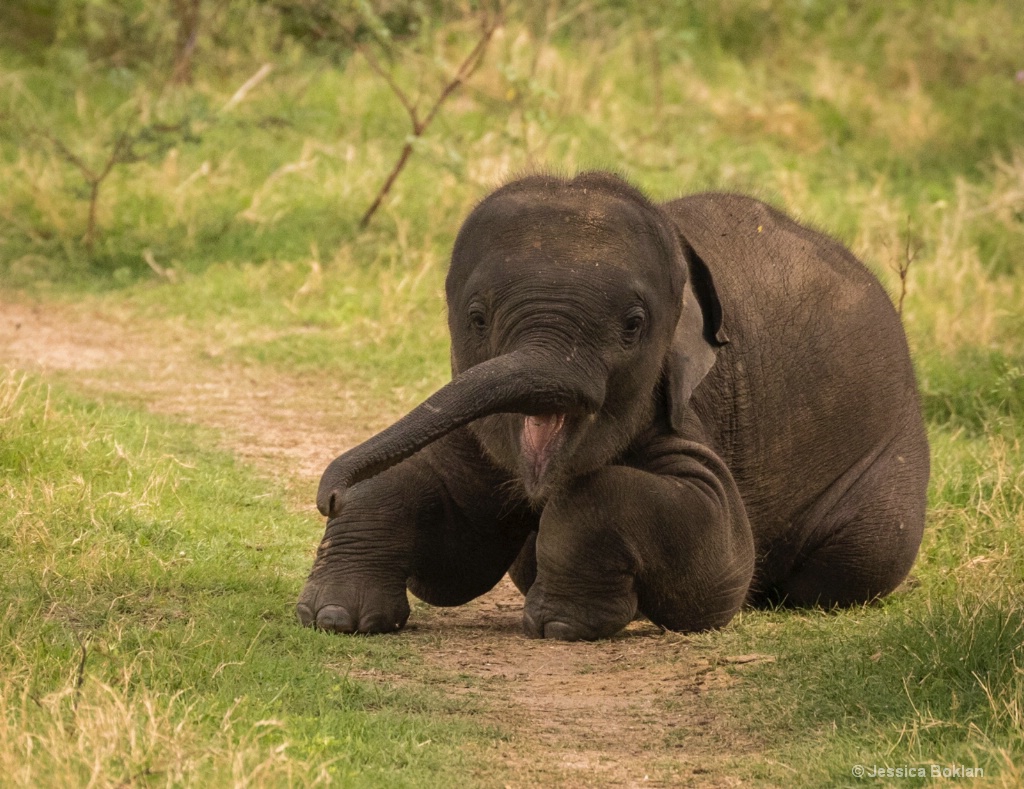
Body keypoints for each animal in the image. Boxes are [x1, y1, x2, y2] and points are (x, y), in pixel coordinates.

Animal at [296, 172, 929, 642]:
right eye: (476, 318)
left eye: (633, 325)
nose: (327, 495)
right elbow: (449, 535)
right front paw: (333, 618)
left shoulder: (685, 403)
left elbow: (719, 553)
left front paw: (563, 626)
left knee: (854, 562)